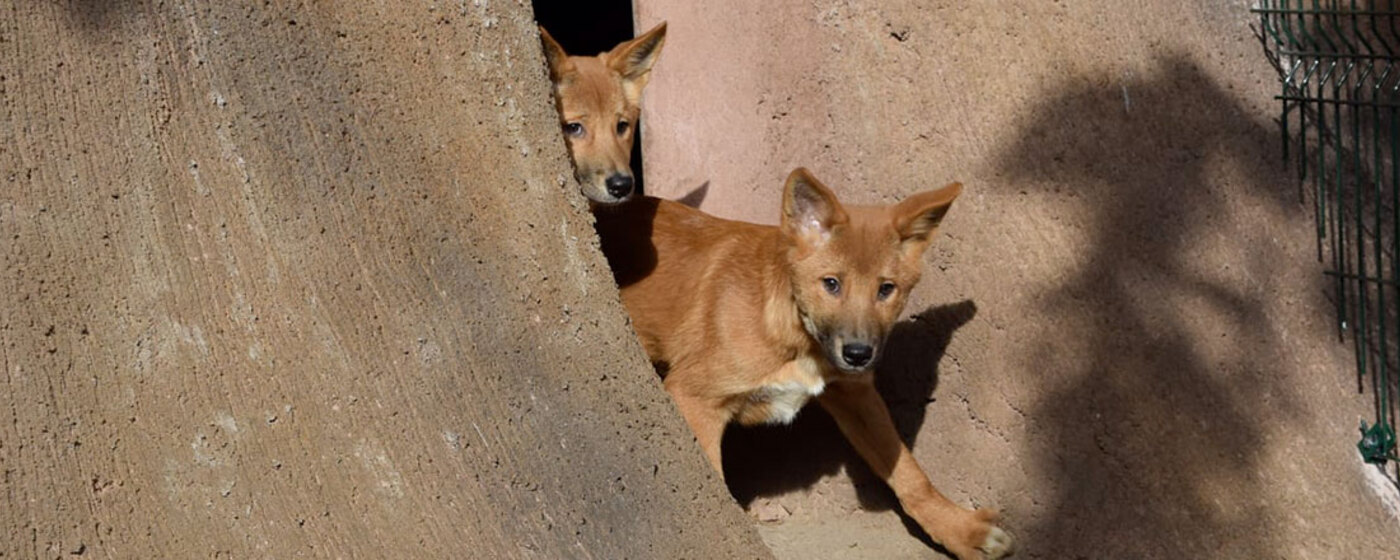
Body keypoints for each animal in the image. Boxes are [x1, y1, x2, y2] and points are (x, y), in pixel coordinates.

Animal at [596, 168, 1013, 557]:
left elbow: (910, 474)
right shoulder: (694, 399)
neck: (795, 332)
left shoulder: (856, 394)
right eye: (831, 283)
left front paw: (961, 531)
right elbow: (710, 483)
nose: (859, 354)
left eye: (886, 289)